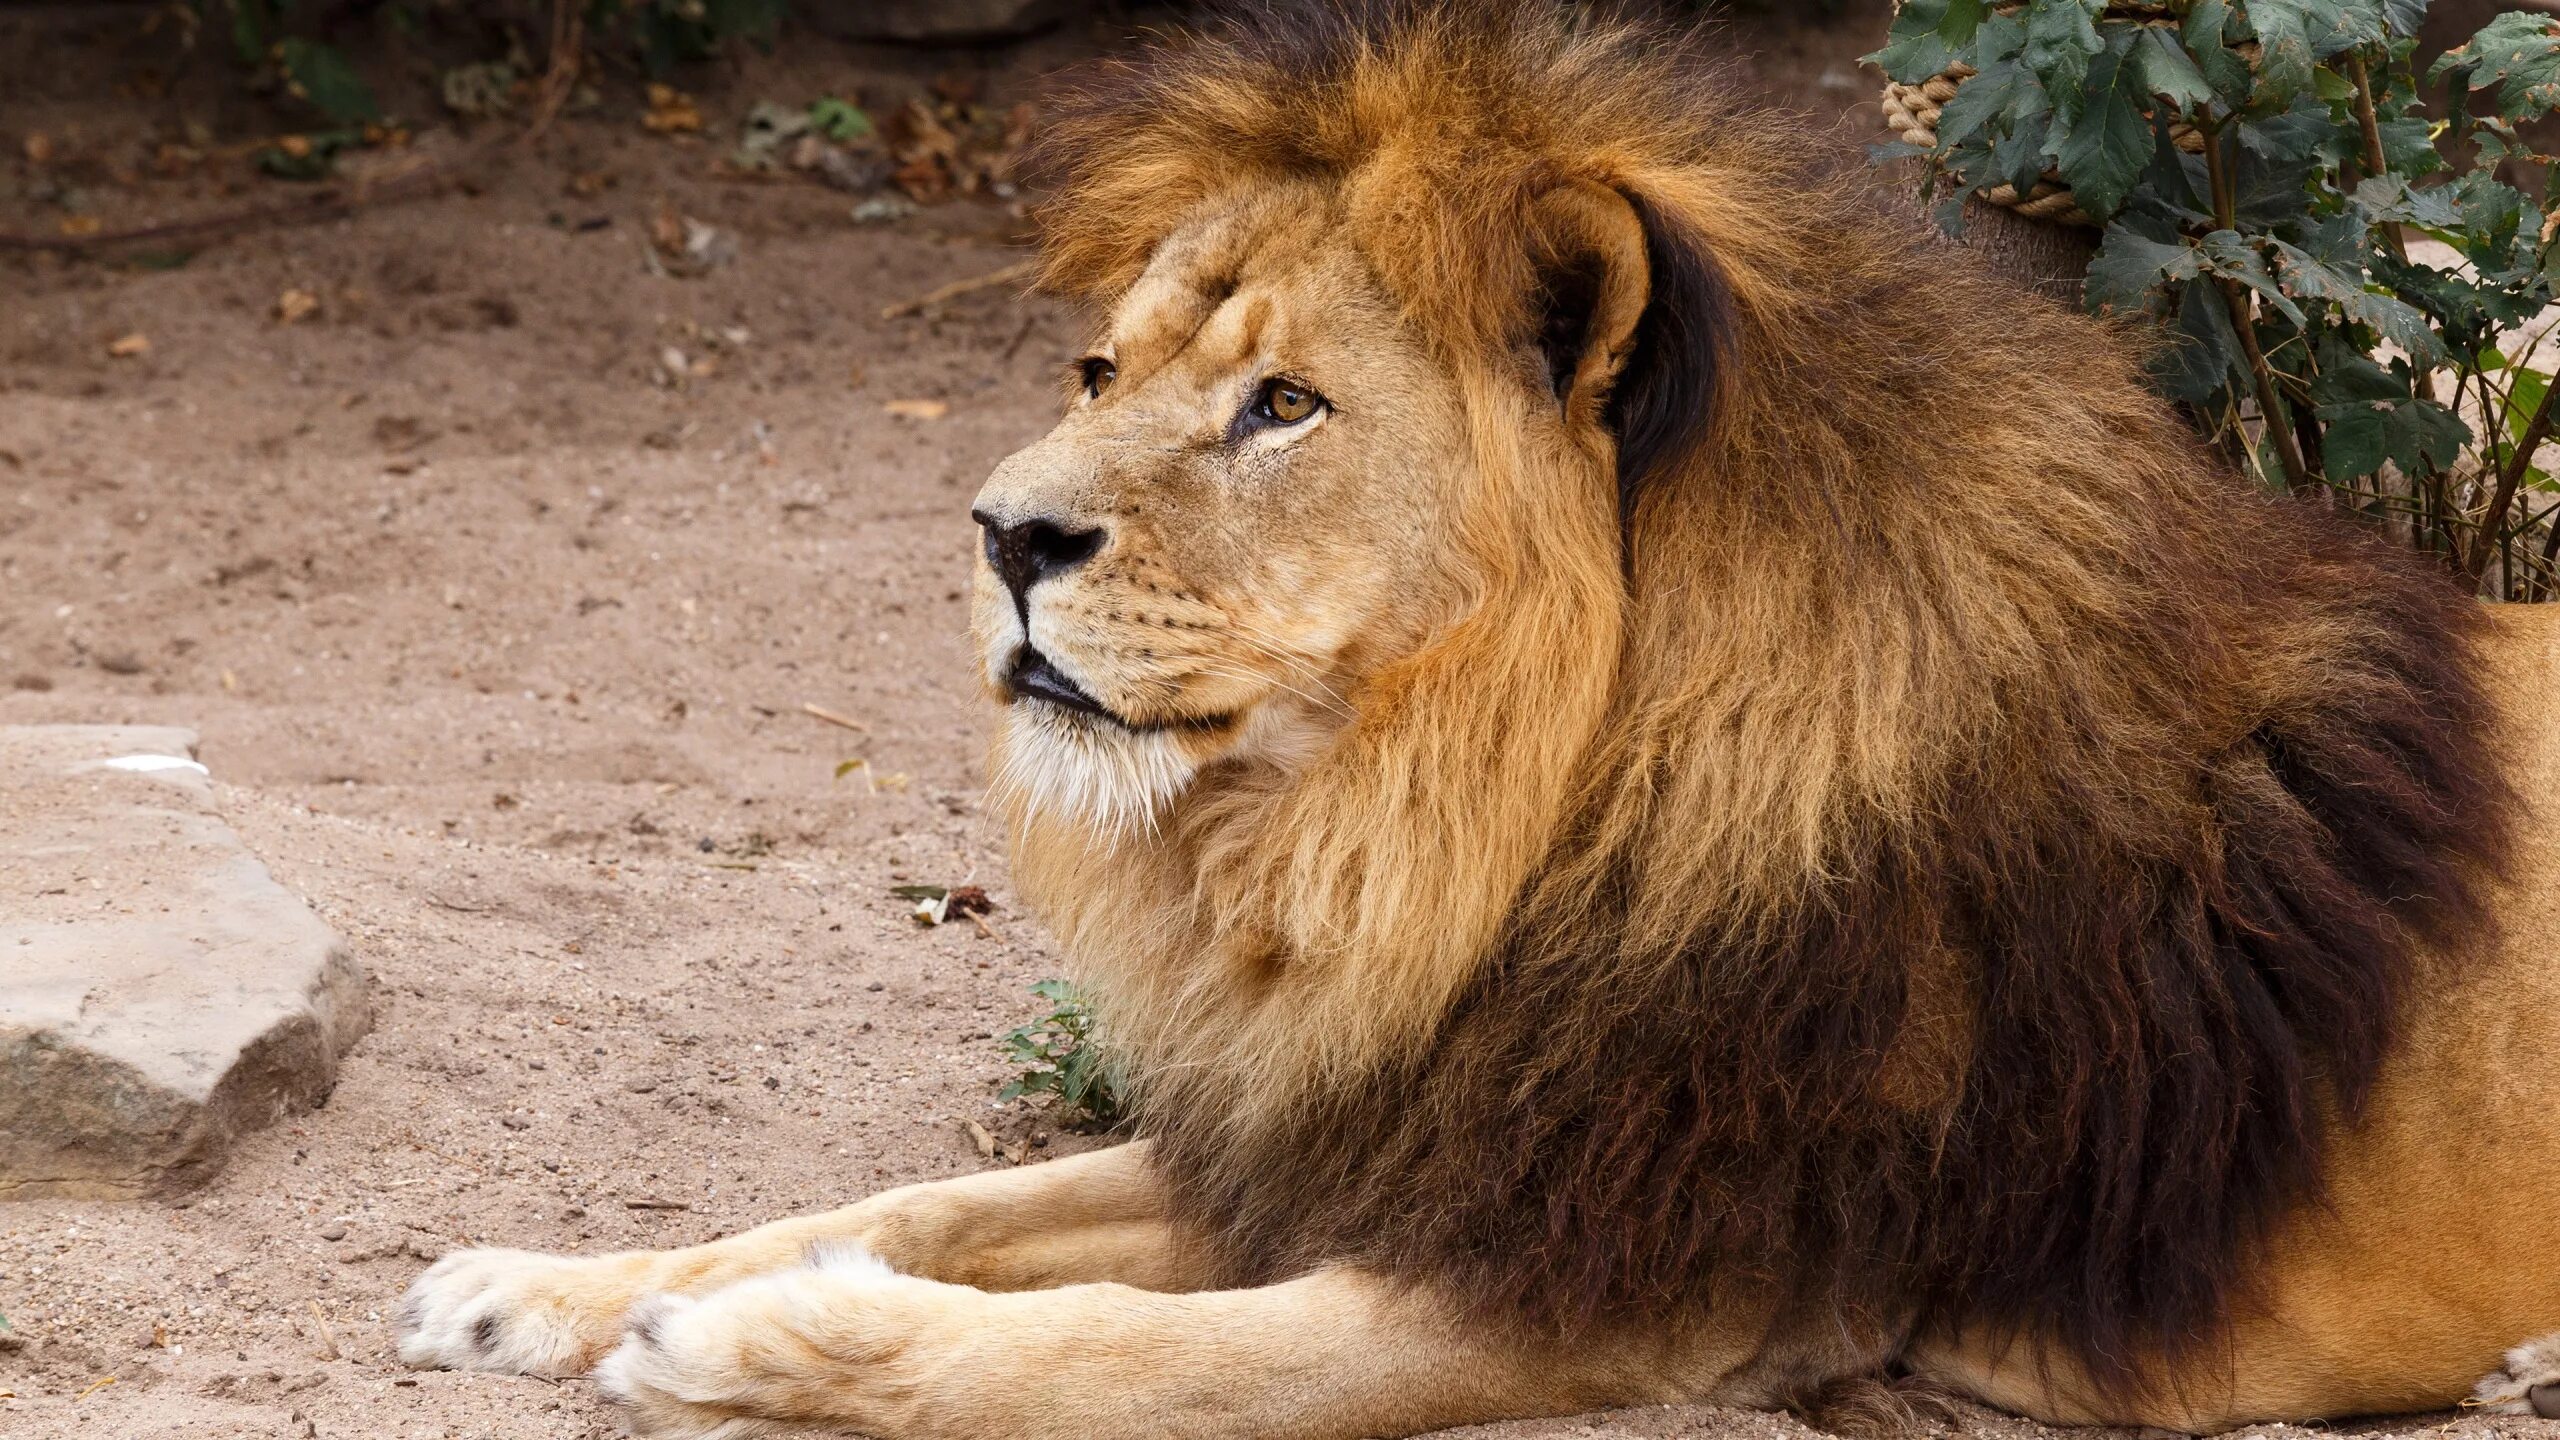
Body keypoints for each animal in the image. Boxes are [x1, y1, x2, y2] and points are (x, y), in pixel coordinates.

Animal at [389, 5, 2560, 1424]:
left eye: (1283, 405)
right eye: (1099, 370)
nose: (1003, 534)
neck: (1452, 834)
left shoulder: (1608, 1285)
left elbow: (1122, 1357)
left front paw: (751, 1348)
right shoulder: (1369, 1137)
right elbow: (917, 1200)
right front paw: (542, 1290)